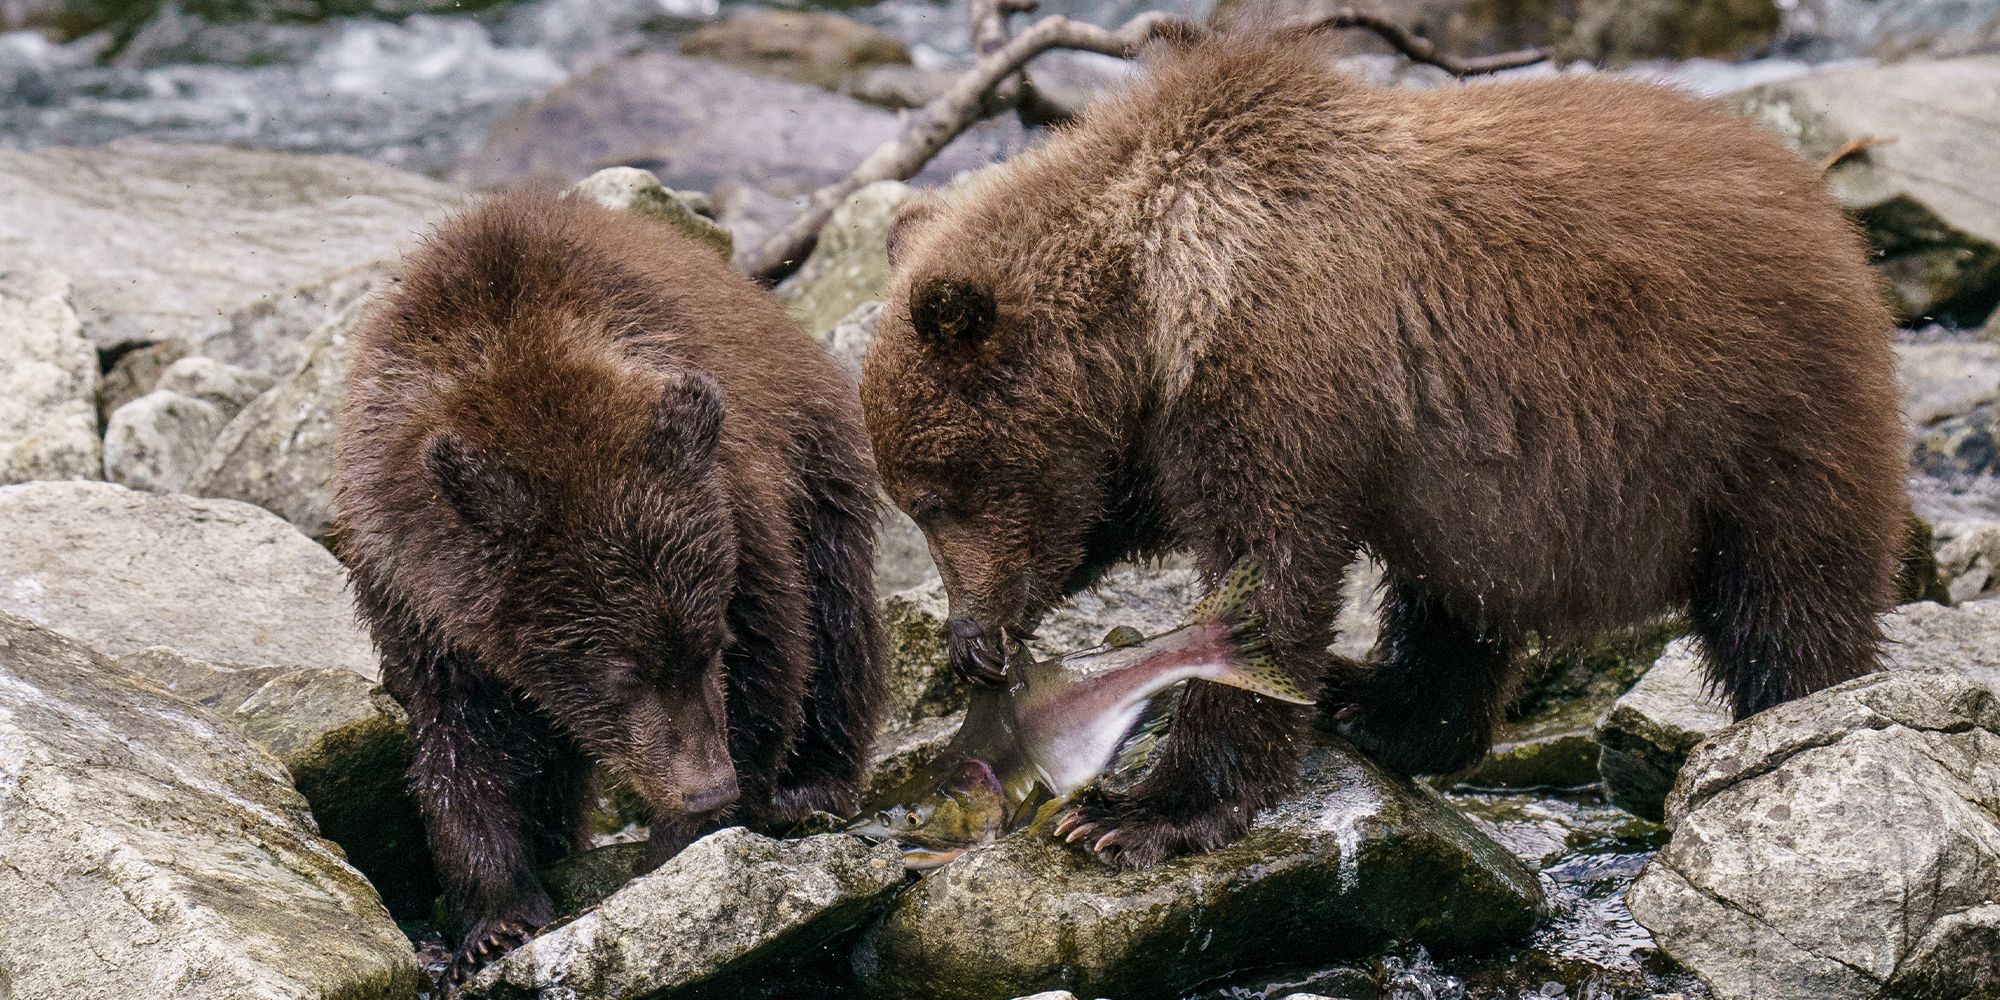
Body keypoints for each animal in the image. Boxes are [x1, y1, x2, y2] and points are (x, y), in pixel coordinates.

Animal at [336, 189, 884, 984]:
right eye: (619, 669)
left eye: (707, 643)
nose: (708, 785)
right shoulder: (413, 593)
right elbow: (461, 743)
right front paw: (495, 919)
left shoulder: (738, 511)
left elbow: (772, 655)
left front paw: (684, 841)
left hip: (815, 454)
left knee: (838, 616)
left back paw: (815, 783)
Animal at [860, 35, 1904, 872]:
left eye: (935, 496)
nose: (977, 628)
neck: (1157, 301)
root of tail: (1827, 210)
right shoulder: (1177, 423)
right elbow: (1134, 512)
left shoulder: (1284, 371)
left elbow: (1269, 567)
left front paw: (1138, 813)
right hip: (1477, 488)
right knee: (1451, 599)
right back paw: (1377, 702)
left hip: (1756, 422)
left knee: (1788, 604)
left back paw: (1802, 718)